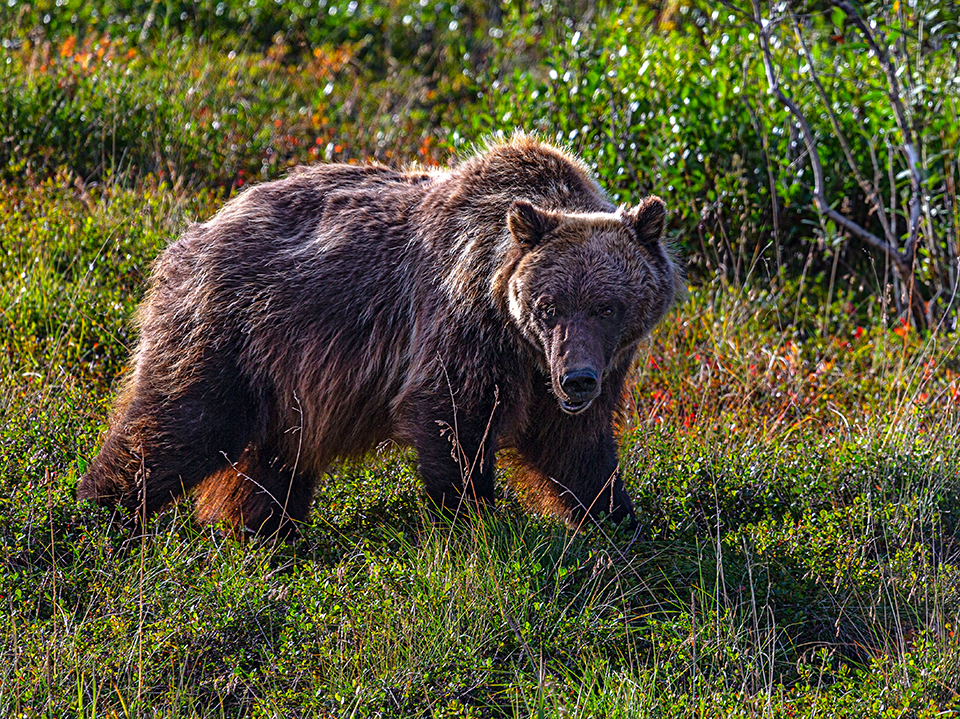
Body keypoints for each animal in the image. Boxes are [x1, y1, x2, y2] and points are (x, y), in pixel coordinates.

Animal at [78, 134, 679, 536]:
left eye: (607, 306)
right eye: (547, 306)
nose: (577, 380)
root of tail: (195, 232)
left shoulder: (584, 368)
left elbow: (577, 449)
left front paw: (619, 519)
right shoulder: (464, 328)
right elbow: (452, 420)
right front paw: (478, 522)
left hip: (284, 375)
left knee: (274, 464)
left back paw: (266, 532)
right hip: (229, 330)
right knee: (183, 423)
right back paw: (96, 512)